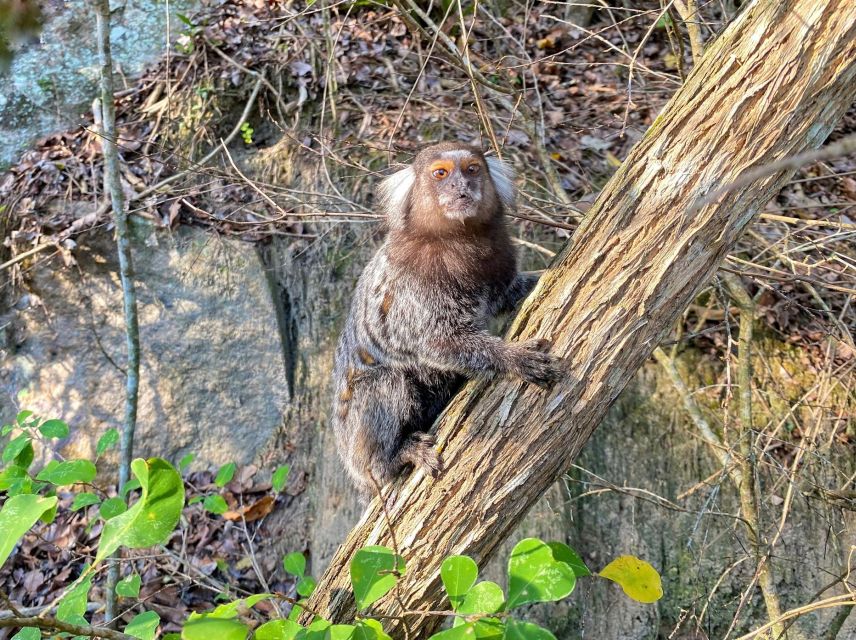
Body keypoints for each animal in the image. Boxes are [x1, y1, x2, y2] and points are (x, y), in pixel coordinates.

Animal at [332, 142, 560, 498]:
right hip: (359, 445)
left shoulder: (498, 264)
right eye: (441, 173)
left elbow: (506, 296)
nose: (461, 187)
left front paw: (539, 278)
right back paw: (395, 457)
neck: (459, 241)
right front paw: (514, 358)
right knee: (385, 384)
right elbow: (438, 341)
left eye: (471, 170)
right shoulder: (416, 285)